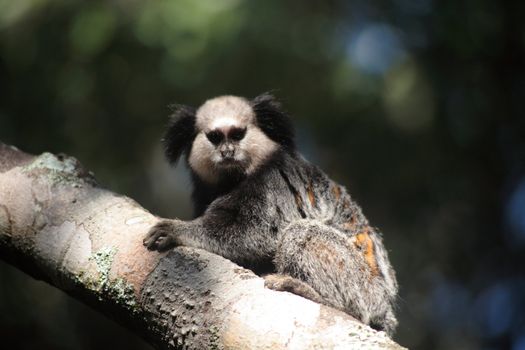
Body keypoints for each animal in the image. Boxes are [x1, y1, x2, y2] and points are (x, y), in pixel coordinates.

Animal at [143, 93, 398, 336]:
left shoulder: (272, 181)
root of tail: (385, 305)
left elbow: (254, 233)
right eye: (215, 137)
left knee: (302, 233)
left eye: (238, 135)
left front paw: (178, 230)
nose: (227, 152)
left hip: (363, 287)